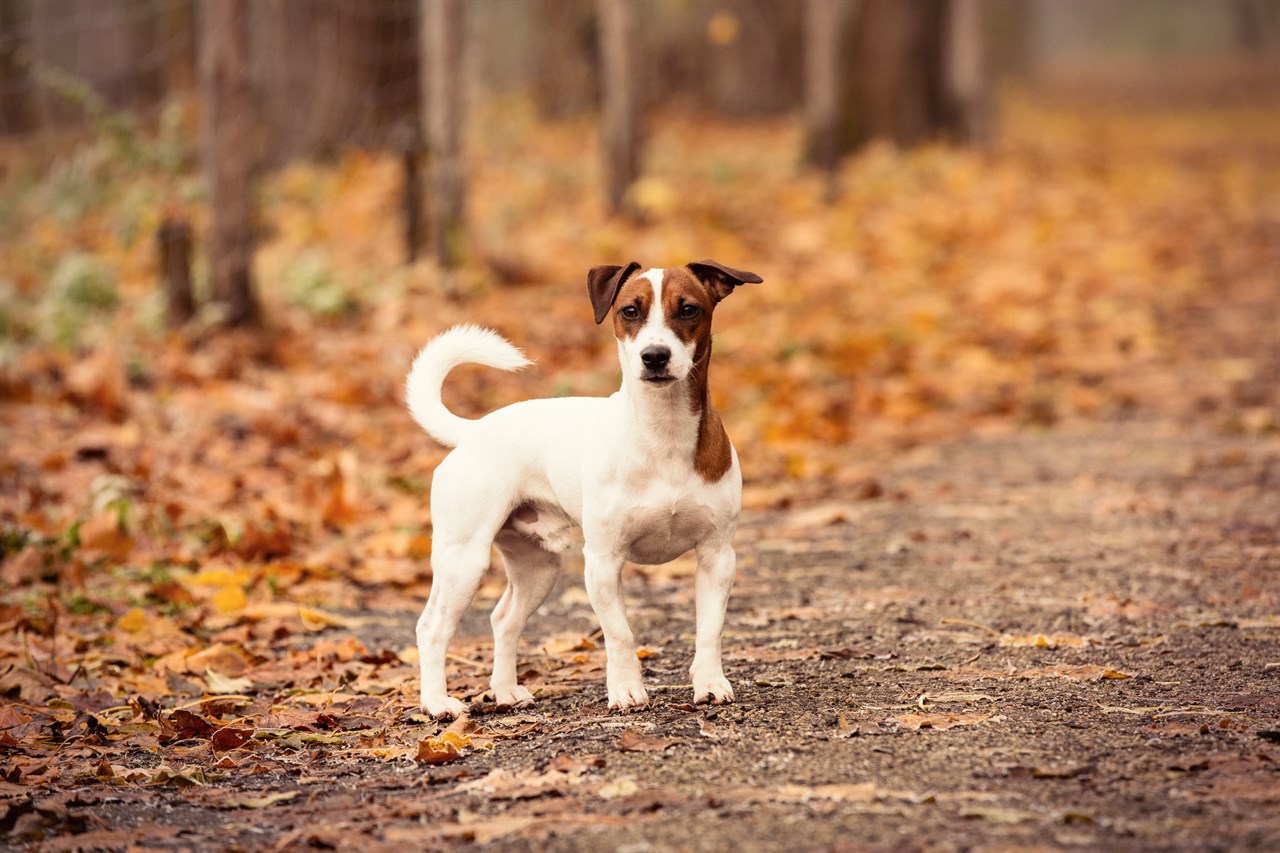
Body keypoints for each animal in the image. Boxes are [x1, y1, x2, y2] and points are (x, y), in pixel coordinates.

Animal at [404, 256, 757, 712]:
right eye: (630, 311)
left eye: (689, 309)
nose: (655, 356)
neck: (664, 432)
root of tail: (474, 431)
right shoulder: (603, 561)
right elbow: (620, 634)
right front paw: (626, 690)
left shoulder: (717, 557)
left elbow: (710, 630)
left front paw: (710, 682)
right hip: (463, 561)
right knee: (431, 628)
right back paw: (437, 703)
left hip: (537, 567)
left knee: (503, 620)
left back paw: (505, 690)